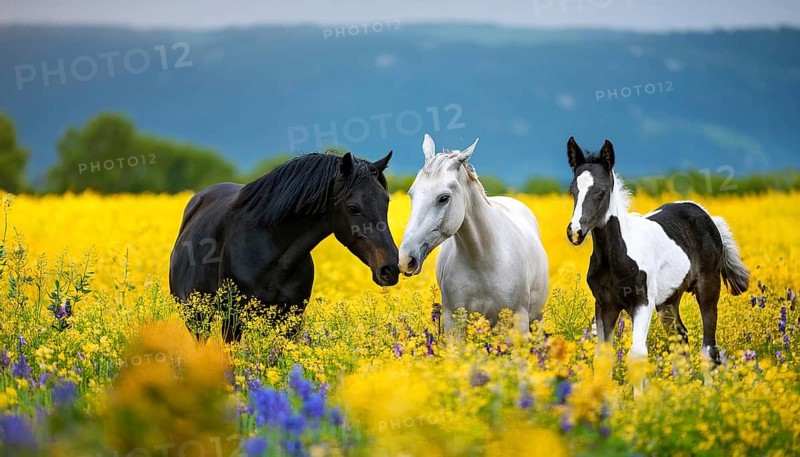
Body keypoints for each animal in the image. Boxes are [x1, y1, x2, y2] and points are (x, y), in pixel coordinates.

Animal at [169, 151, 400, 342]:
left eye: (386, 202)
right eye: (353, 208)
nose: (390, 269)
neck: (274, 253)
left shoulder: (290, 321)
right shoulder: (233, 319)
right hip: (196, 317)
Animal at [398, 134, 549, 333]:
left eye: (443, 198)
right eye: (411, 194)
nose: (405, 260)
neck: (481, 259)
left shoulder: (518, 321)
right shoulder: (454, 321)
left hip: (536, 320)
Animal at [564, 137, 750, 375]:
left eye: (601, 191)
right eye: (573, 190)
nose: (575, 232)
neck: (615, 255)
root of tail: (706, 216)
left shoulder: (642, 302)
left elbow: (636, 356)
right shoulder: (605, 305)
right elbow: (603, 358)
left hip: (708, 287)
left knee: (709, 348)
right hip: (669, 300)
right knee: (680, 339)